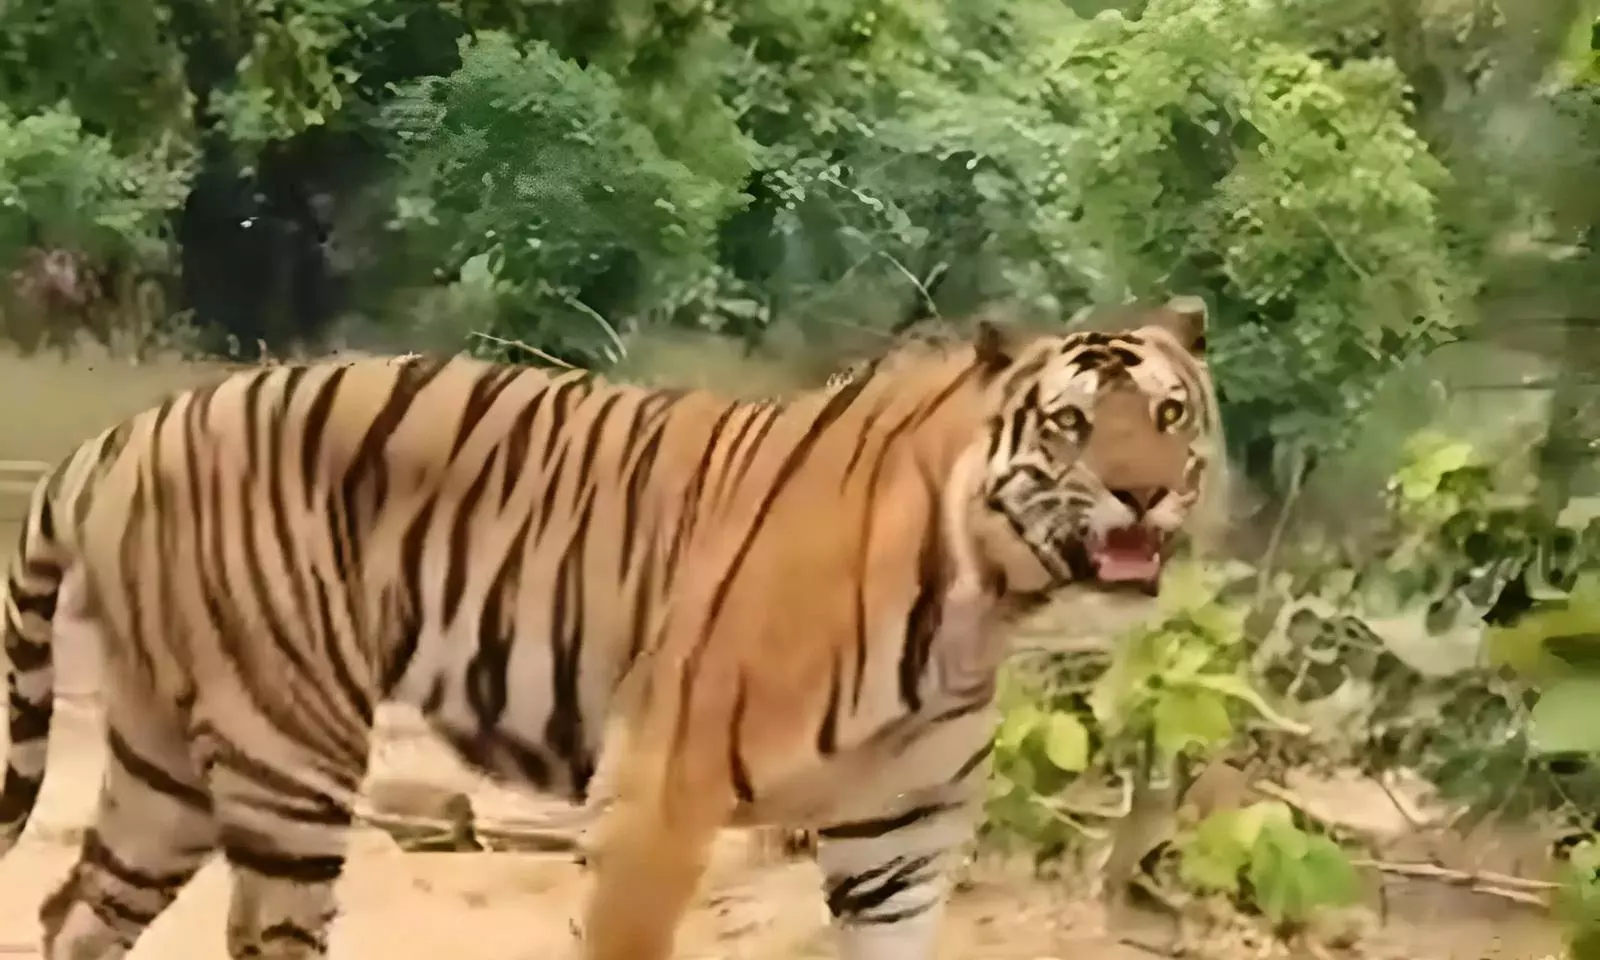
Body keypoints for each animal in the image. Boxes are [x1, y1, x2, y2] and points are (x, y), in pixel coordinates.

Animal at [0, 294, 1225, 960]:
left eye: (1170, 414)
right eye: (1070, 426)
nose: (1143, 495)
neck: (984, 601)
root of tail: (125, 432)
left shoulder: (902, 843)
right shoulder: (658, 797)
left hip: (167, 763)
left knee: (75, 912)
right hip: (287, 753)